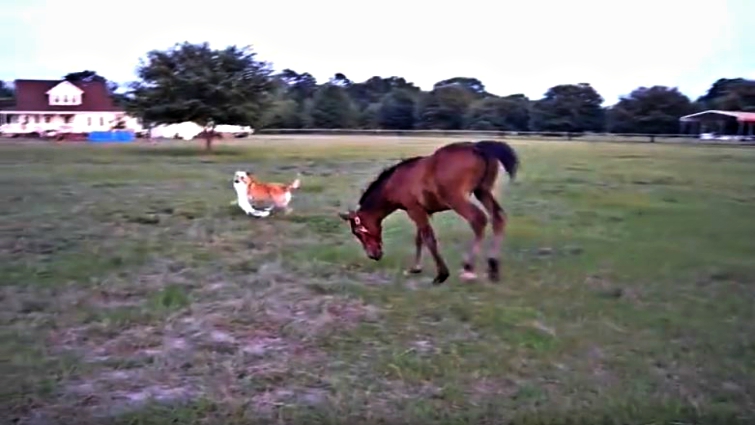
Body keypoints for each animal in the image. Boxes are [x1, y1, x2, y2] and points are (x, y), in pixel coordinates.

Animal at [338, 140, 519, 284]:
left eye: (358, 232)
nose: (373, 255)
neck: (394, 182)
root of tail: (478, 147)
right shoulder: (420, 210)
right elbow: (419, 238)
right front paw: (415, 268)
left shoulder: (414, 209)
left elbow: (428, 238)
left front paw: (441, 275)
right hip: (482, 191)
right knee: (498, 217)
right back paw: (493, 268)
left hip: (456, 198)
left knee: (478, 219)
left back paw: (469, 269)